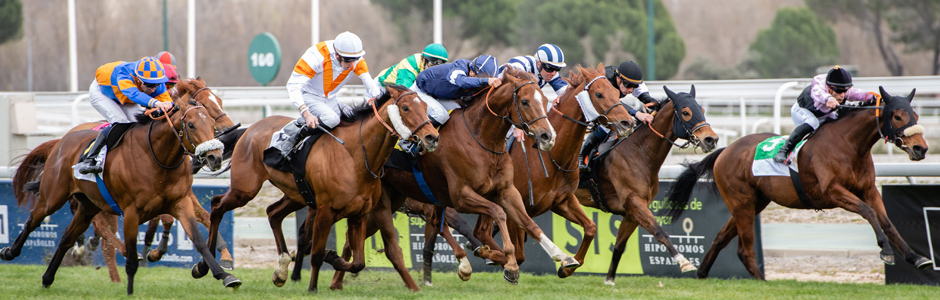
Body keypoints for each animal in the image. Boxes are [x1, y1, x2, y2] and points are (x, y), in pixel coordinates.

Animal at [1, 96, 235, 296]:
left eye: (211, 124)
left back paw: (47, 278)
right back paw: (9, 252)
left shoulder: (181, 203)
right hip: (52, 196)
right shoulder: (131, 212)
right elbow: (131, 257)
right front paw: (130, 291)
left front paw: (223, 275)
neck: (158, 158)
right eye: (192, 125)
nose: (215, 158)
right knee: (33, 219)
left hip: (88, 207)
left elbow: (199, 240)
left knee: (66, 238)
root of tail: (62, 140)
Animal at [196, 85, 438, 292]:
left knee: (273, 213)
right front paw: (313, 287)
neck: (355, 156)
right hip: (244, 189)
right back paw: (206, 267)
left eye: (425, 106)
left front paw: (333, 260)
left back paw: (281, 269)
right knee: (217, 206)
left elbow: (358, 261)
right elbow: (317, 253)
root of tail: (251, 128)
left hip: (295, 194)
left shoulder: (360, 214)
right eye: (405, 107)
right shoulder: (325, 211)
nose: (432, 137)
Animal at [326, 67, 568, 288]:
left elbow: (528, 223)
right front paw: (509, 264)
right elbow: (498, 213)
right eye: (525, 102)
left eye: (545, 99)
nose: (548, 136)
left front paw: (563, 257)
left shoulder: (506, 190)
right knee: (354, 238)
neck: (481, 138)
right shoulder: (461, 196)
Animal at [572, 85, 720, 286]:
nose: (711, 140)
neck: (639, 152)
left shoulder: (632, 212)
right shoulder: (635, 203)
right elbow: (660, 232)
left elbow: (619, 246)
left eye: (703, 110)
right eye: (686, 112)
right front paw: (684, 262)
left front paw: (609, 280)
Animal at [664, 86, 928, 278]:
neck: (848, 144)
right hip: (741, 202)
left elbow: (887, 222)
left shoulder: (869, 189)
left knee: (721, 237)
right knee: (744, 250)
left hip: (753, 202)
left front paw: (917, 257)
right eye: (897, 116)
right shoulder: (832, 191)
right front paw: (886, 251)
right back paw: (762, 282)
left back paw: (702, 273)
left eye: (915, 115)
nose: (921, 149)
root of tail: (726, 150)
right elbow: (868, 212)